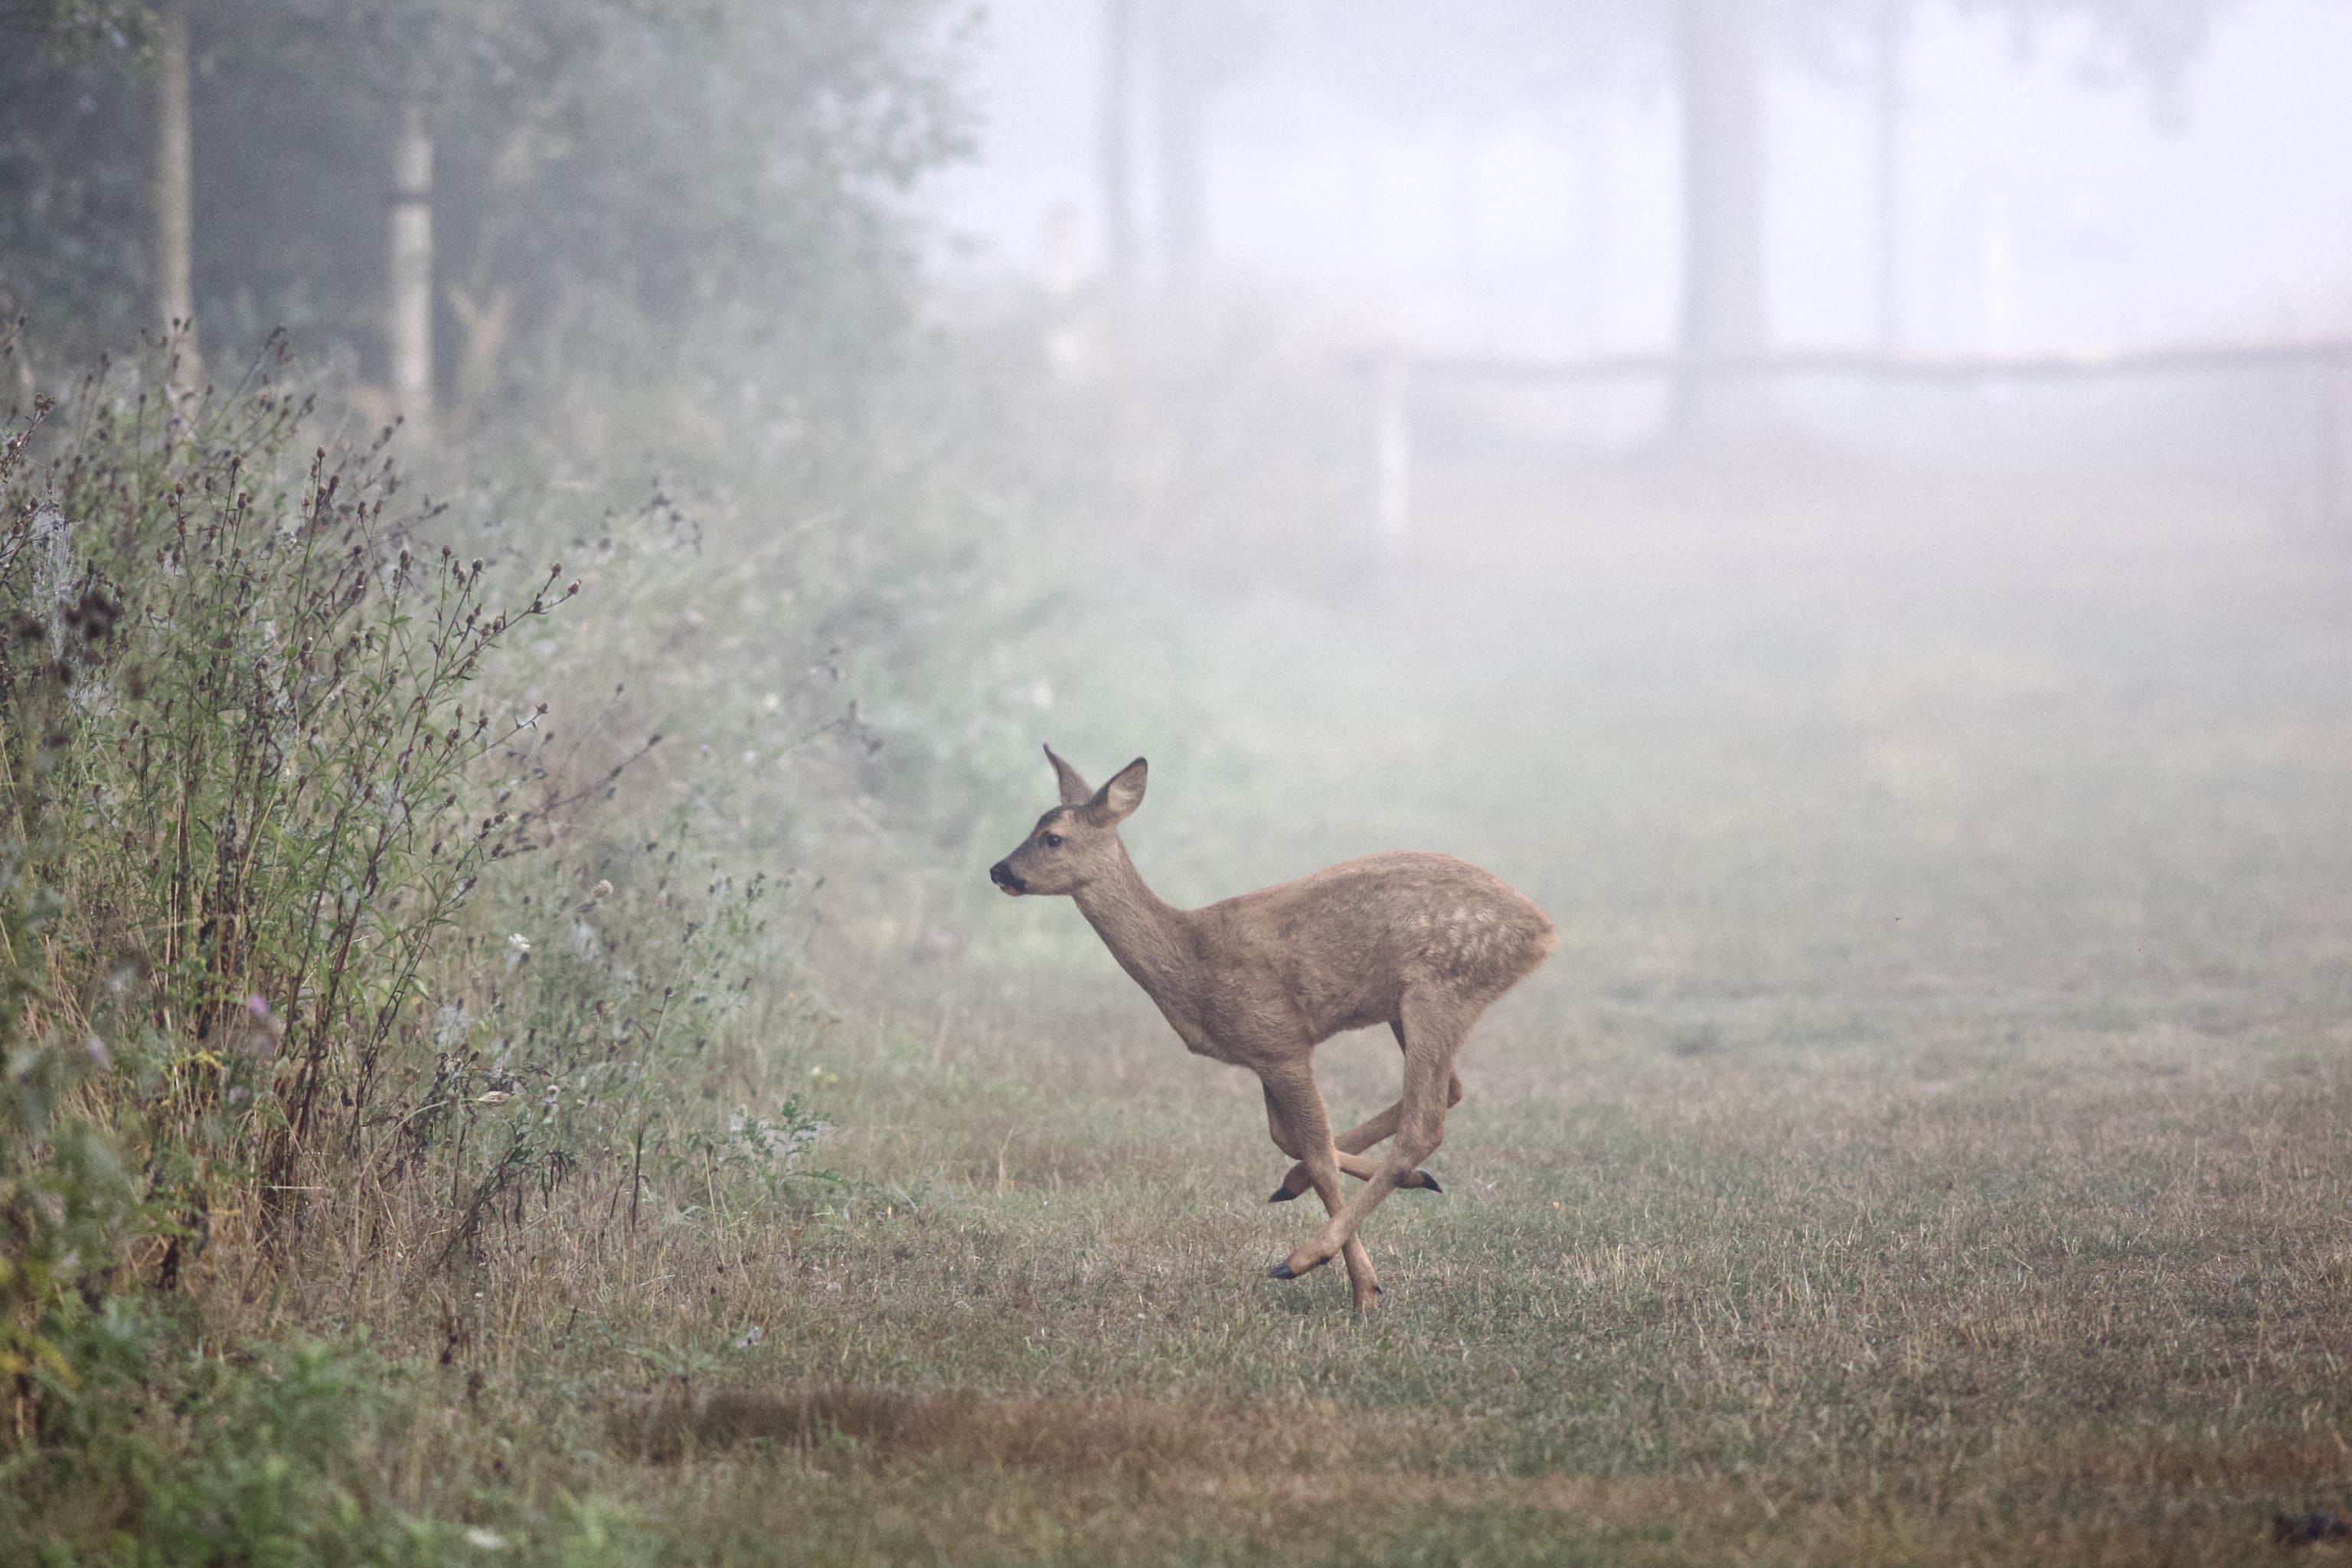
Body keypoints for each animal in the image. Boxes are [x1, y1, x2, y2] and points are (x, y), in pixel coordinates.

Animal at [983, 747, 1552, 1316]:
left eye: (1052, 837)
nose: (998, 870)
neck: (1191, 959)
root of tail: (1543, 932)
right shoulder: (1260, 1054)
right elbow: (1288, 1139)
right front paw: (1311, 1193)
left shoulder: (1281, 1041)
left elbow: (1318, 1156)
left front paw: (1363, 1289)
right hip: (1408, 1007)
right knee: (1451, 1091)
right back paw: (1391, 1181)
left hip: (1438, 989)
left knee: (1425, 1124)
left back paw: (1301, 1257)